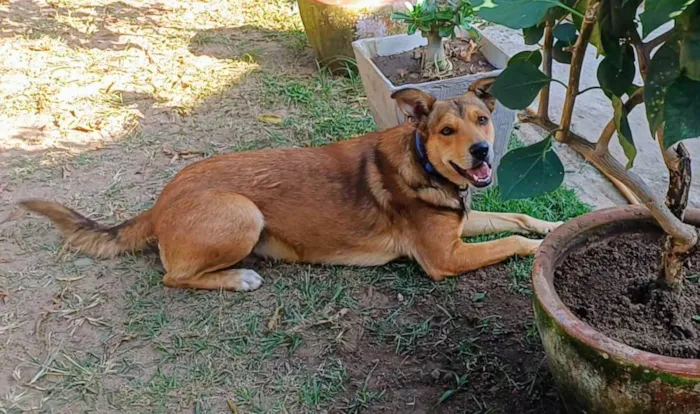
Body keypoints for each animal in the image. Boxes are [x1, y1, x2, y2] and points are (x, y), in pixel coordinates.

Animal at [20, 77, 564, 292]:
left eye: (482, 120)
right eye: (447, 131)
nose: (482, 152)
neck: (423, 164)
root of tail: (159, 203)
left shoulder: (462, 224)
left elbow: (518, 216)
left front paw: (552, 226)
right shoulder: (444, 257)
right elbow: (512, 241)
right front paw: (538, 248)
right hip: (243, 213)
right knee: (173, 277)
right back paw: (238, 278)